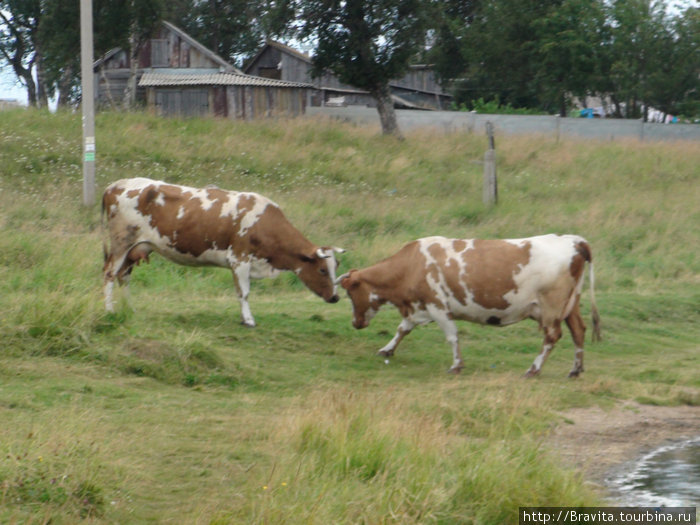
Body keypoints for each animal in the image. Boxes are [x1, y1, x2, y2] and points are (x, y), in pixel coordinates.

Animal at [102, 178, 344, 326]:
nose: (335, 297)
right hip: (120, 244)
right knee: (110, 274)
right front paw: (248, 320)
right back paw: (110, 310)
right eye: (322, 270)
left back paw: (129, 309)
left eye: (336, 267)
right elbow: (243, 292)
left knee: (124, 277)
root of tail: (115, 185)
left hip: (136, 248)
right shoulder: (240, 259)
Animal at [336, 234, 600, 376]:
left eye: (350, 293)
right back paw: (575, 369)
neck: (411, 264)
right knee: (578, 331)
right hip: (570, 305)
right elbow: (403, 328)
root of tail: (574, 240)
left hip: (552, 306)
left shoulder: (437, 306)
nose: (355, 323)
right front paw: (387, 349)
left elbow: (452, 336)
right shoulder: (418, 307)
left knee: (552, 336)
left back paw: (534, 369)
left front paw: (456, 365)